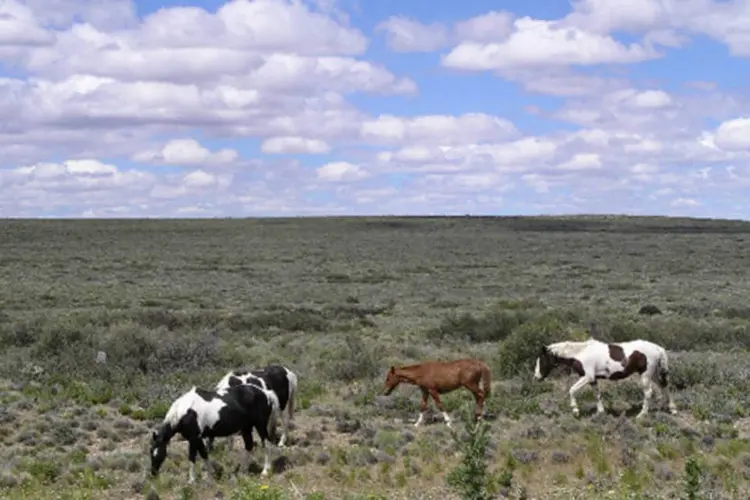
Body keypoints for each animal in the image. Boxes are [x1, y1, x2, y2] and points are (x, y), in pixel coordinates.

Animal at [150, 382, 282, 484]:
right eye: (151, 452)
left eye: (159, 454)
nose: (153, 473)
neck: (185, 412)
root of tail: (266, 393)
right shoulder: (198, 439)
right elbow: (204, 454)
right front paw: (211, 475)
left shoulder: (193, 438)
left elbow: (192, 458)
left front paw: (192, 480)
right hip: (246, 427)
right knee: (249, 446)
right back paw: (243, 471)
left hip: (260, 425)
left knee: (267, 444)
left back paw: (265, 471)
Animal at [536, 338, 680, 420]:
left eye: (541, 360)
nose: (537, 377)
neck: (580, 353)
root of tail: (658, 348)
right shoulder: (593, 379)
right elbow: (597, 395)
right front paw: (600, 412)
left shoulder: (587, 377)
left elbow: (571, 390)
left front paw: (576, 411)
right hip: (654, 374)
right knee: (664, 386)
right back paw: (672, 410)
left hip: (645, 375)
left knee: (648, 393)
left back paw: (641, 415)